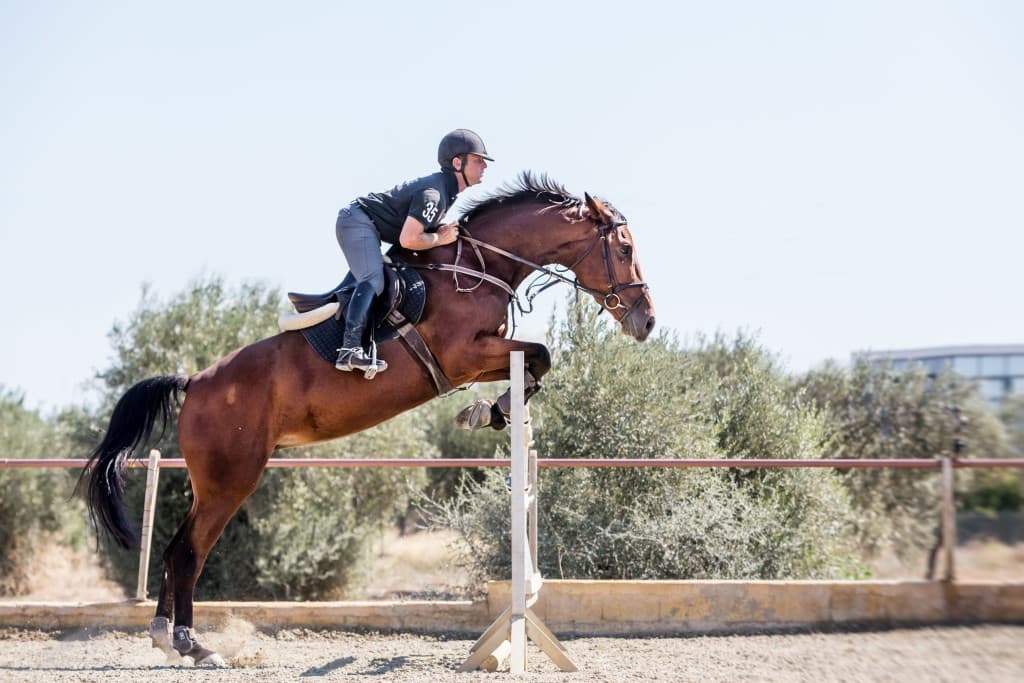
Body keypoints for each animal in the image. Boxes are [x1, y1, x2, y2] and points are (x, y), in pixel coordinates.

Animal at [80, 172, 655, 665]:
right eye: (625, 249)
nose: (646, 322)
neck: (478, 266)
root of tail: (195, 382)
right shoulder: (464, 354)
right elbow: (540, 353)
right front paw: (496, 409)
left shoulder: (481, 355)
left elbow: (536, 360)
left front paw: (492, 410)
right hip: (230, 481)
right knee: (189, 554)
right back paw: (192, 645)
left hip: (213, 483)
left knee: (176, 549)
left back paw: (165, 636)